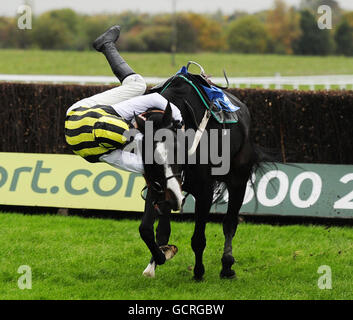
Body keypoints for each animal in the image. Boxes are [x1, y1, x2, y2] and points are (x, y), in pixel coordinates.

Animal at [133, 64, 266, 280]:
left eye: (176, 149)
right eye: (147, 156)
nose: (171, 197)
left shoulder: (205, 191)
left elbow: (198, 238)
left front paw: (198, 271)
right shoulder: (157, 186)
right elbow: (146, 229)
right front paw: (158, 257)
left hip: (238, 179)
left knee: (230, 222)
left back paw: (227, 265)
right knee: (163, 227)